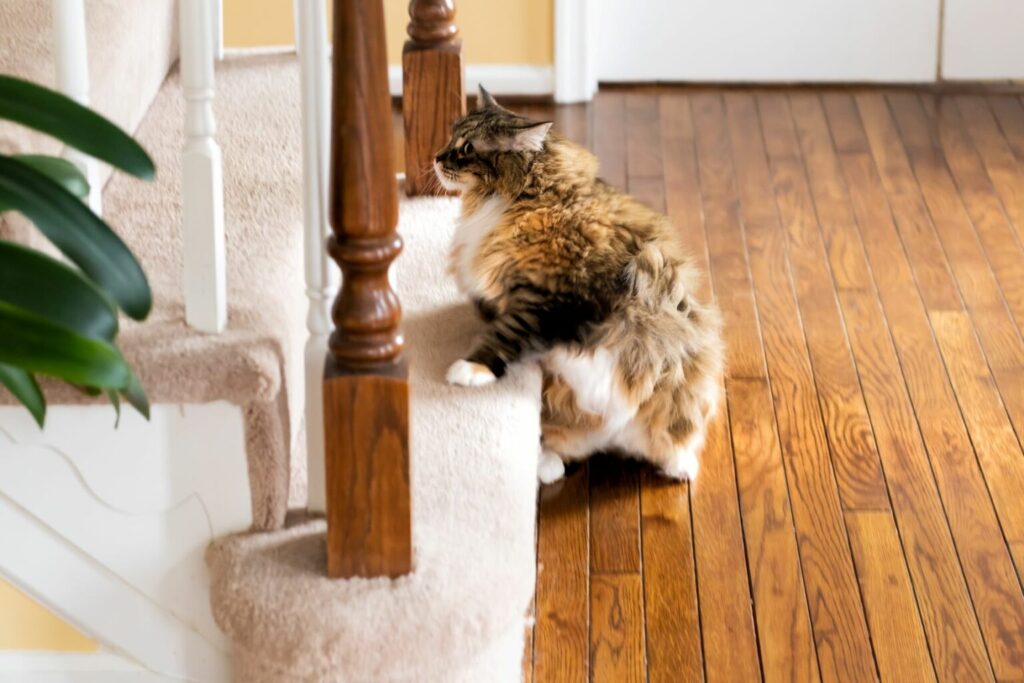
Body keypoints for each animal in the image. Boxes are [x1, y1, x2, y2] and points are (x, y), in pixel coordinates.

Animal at [436, 87, 724, 485]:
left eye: (466, 148)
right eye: (452, 138)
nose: (436, 158)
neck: (527, 200)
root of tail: (613, 438)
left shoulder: (549, 296)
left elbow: (506, 333)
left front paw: (470, 369)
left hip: (688, 393)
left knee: (674, 440)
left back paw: (680, 466)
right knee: (558, 448)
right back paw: (550, 467)